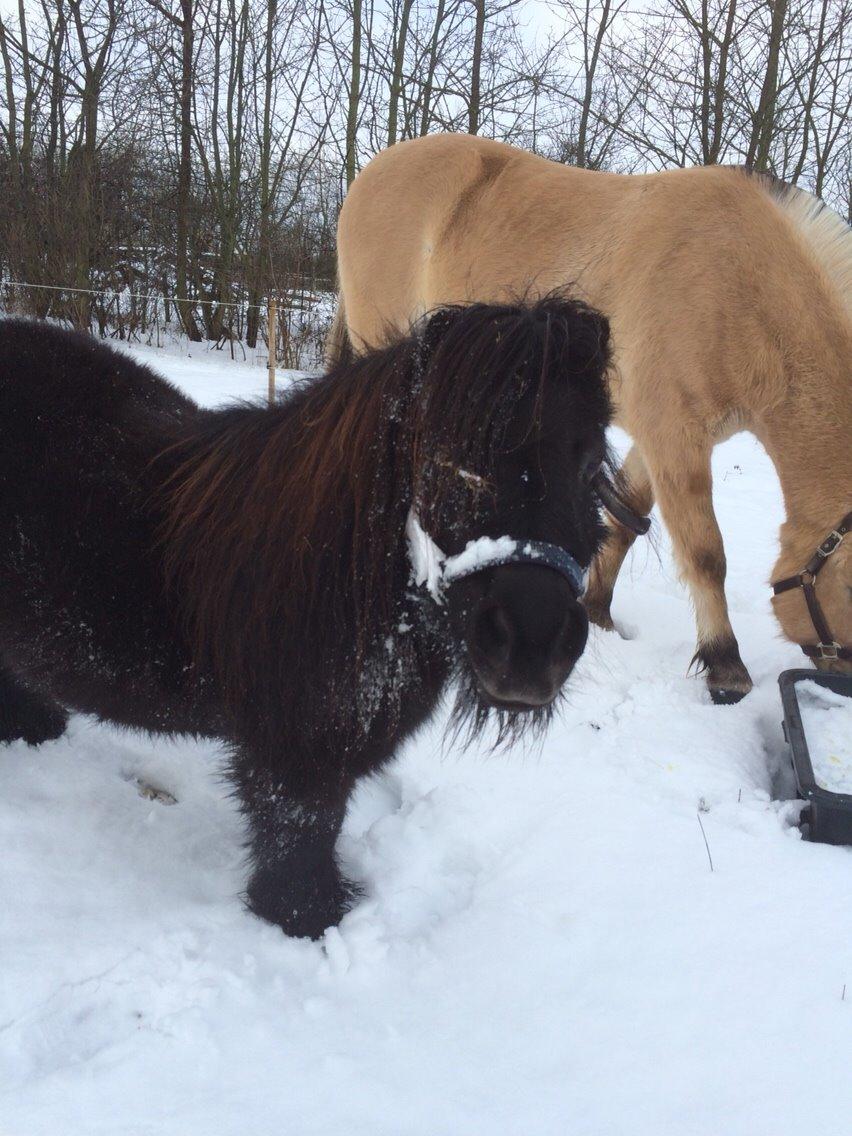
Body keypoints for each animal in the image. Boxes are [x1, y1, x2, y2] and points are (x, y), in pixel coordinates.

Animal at [0, 297, 616, 938]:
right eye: (450, 462)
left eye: (591, 462)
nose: (532, 646)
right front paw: (304, 920)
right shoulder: (294, 758)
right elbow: (300, 835)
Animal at [331, 133, 852, 704]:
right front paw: (725, 666)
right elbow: (705, 553)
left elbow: (624, 519)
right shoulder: (676, 438)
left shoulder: (654, 438)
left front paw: (596, 609)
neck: (739, 284)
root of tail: (375, 170)